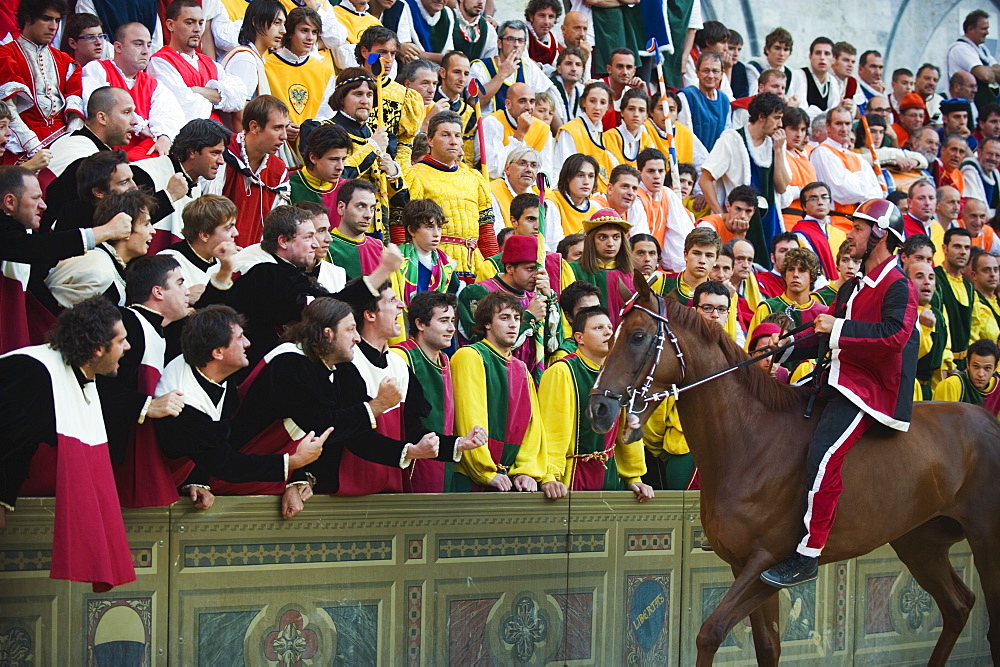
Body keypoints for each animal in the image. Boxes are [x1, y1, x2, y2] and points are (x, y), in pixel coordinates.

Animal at [584, 270, 1000, 664]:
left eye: (637, 336)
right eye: (612, 334)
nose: (599, 407)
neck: (750, 442)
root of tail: (989, 421)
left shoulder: (766, 563)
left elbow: (710, 632)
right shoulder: (744, 567)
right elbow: (767, 646)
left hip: (984, 540)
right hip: (920, 542)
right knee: (958, 606)